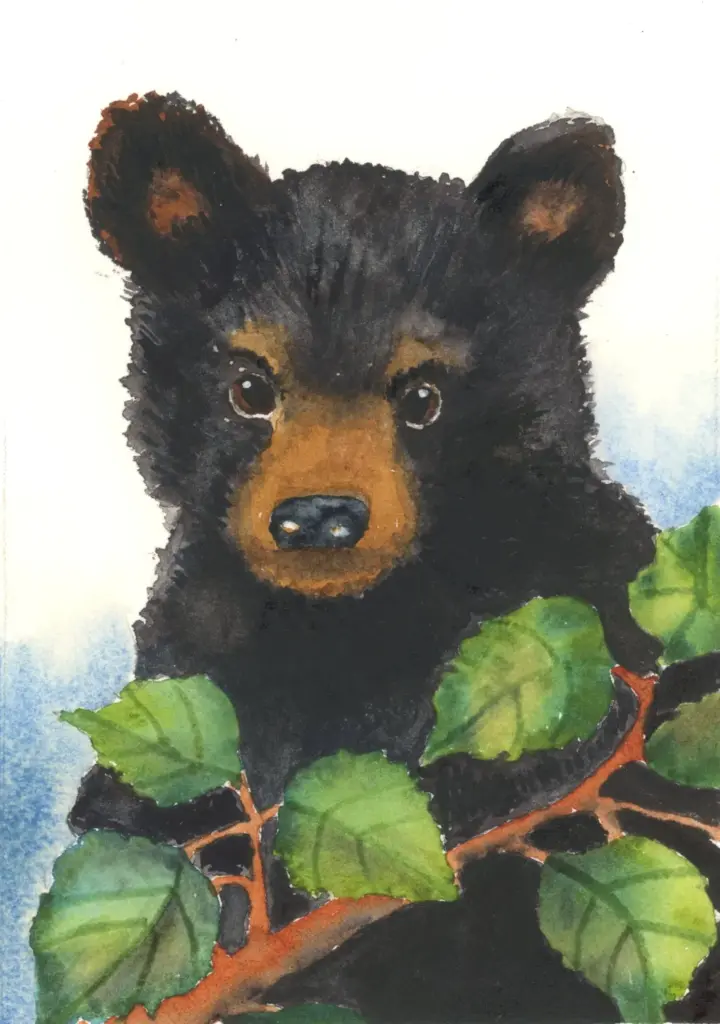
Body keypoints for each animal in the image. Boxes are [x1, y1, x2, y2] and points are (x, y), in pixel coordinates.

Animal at [67, 91, 687, 1023]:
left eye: (422, 395)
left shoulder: (588, 619)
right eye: (249, 386)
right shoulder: (200, 658)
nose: (320, 518)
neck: (351, 628)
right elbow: (153, 818)